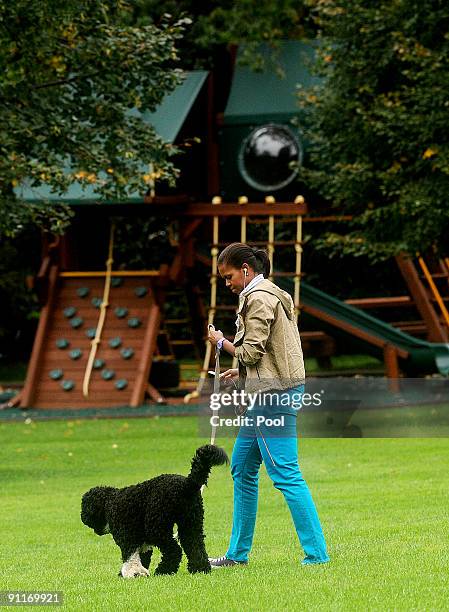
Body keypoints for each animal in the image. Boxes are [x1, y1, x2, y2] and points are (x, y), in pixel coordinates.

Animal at [80, 444, 228, 580]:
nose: (96, 532)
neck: (109, 502)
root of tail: (187, 483)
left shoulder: (127, 537)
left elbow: (130, 558)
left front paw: (131, 573)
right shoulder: (142, 540)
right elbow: (142, 557)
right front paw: (139, 573)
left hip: (157, 527)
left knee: (174, 550)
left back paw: (163, 571)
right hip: (191, 523)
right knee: (195, 546)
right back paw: (200, 569)